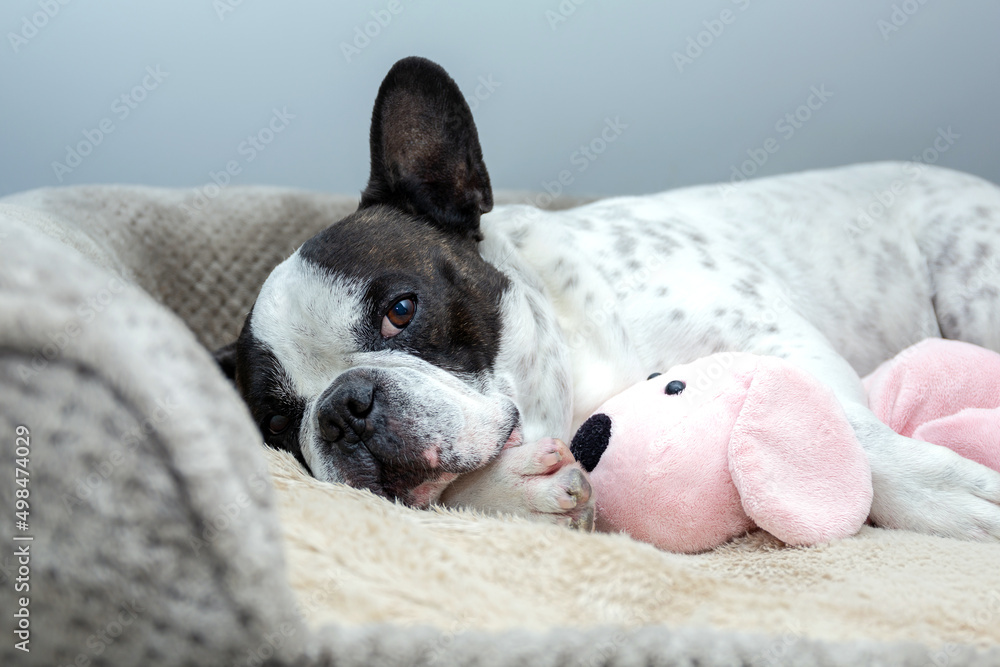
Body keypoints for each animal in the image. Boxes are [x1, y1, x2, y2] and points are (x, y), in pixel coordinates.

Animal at [217, 54, 1000, 540]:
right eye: (278, 423)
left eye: (400, 310)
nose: (342, 409)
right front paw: (515, 494)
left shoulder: (779, 342)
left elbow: (837, 426)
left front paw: (939, 490)